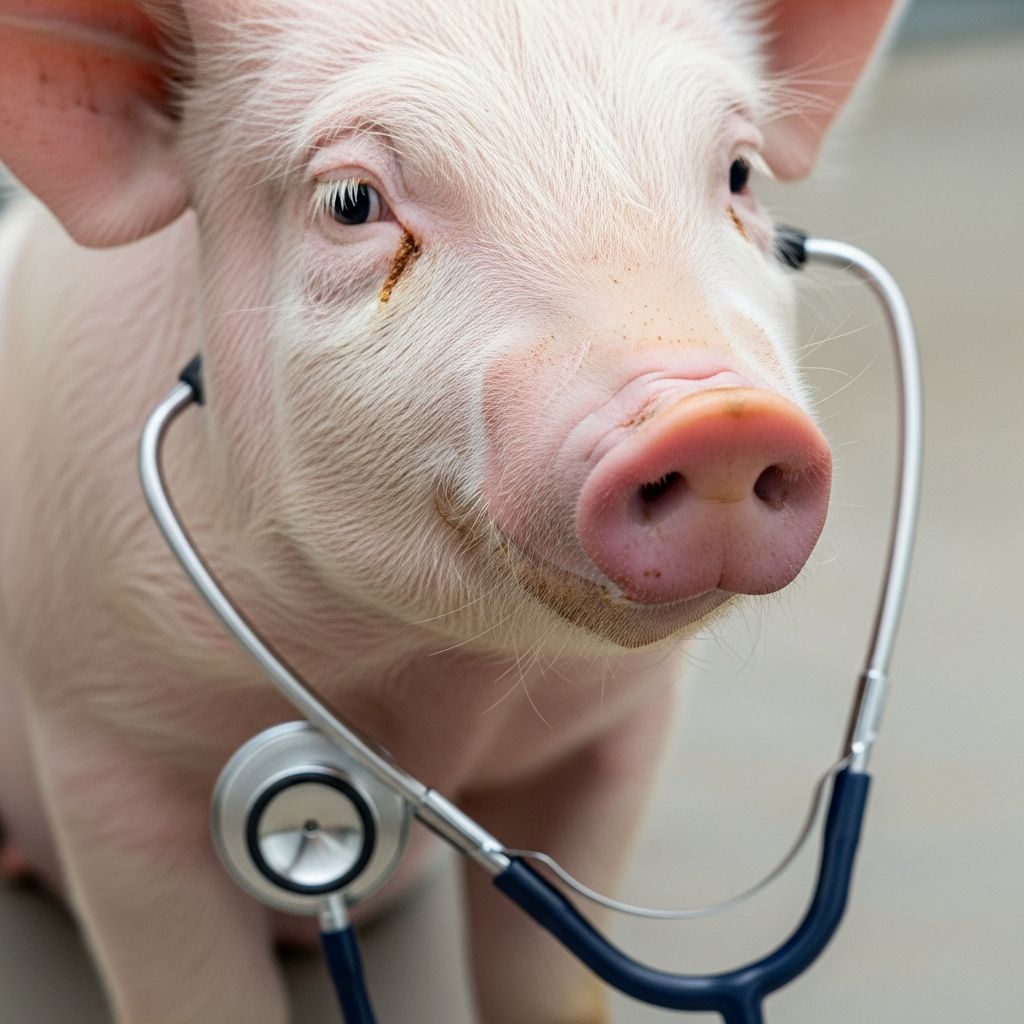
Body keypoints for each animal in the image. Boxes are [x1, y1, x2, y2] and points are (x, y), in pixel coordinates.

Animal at [0, 1, 901, 1022]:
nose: (718, 421)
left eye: (741, 172)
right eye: (351, 201)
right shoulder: (102, 748)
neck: (439, 690)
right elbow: (191, 987)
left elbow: (545, 980)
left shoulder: (615, 739)